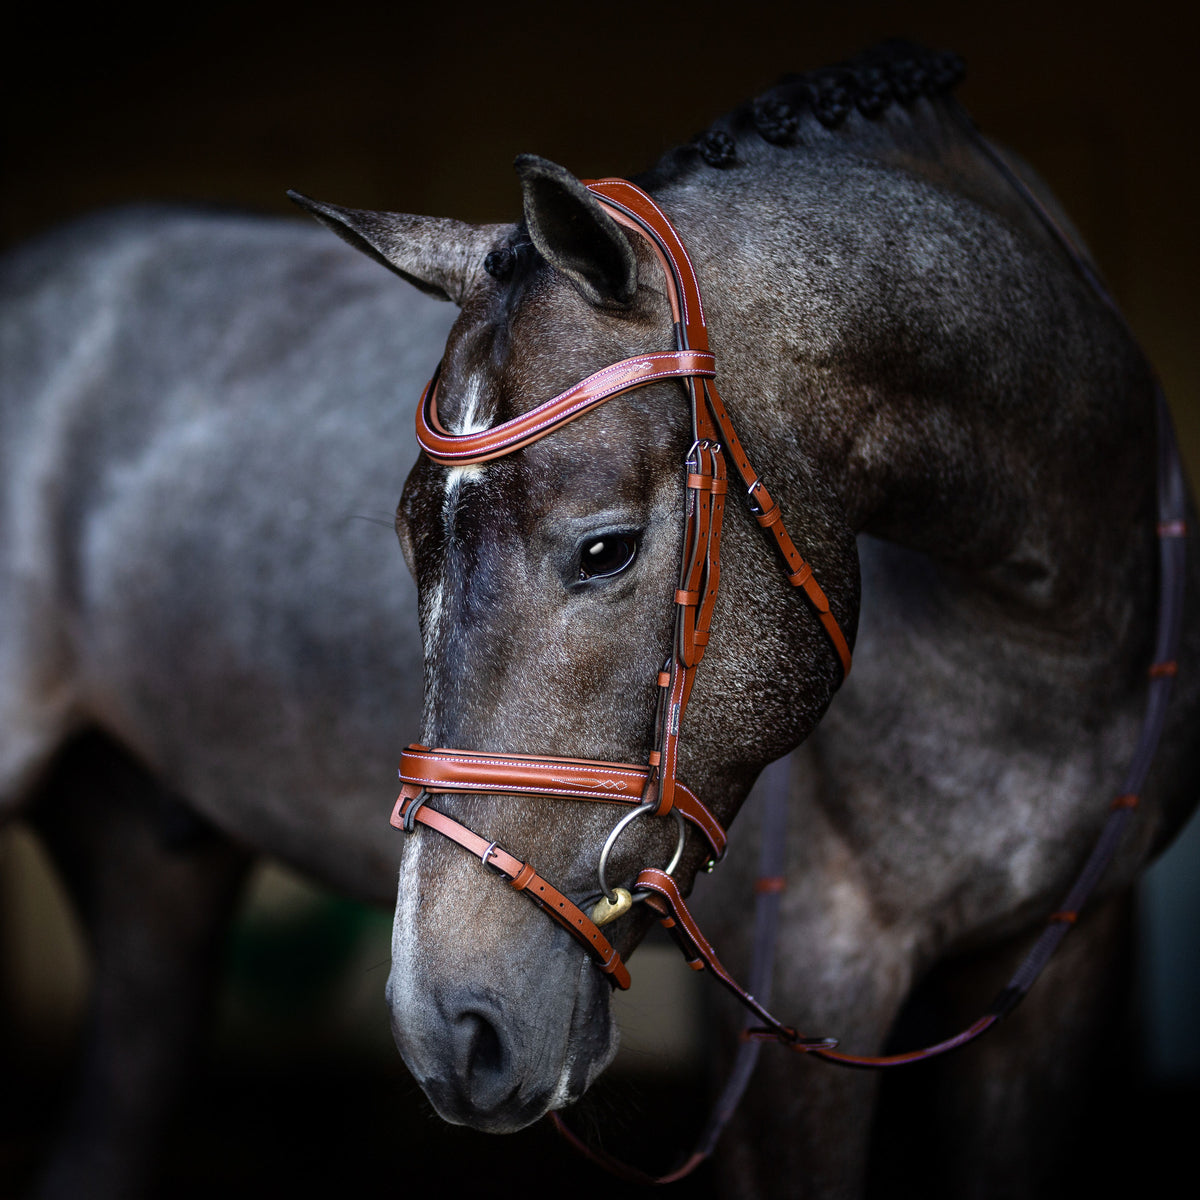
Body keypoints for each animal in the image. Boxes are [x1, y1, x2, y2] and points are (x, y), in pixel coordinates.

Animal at [290, 42, 1200, 1197]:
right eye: (413, 553)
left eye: (605, 549)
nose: (445, 1031)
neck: (1044, 630)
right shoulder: (807, 987)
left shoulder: (1062, 962)